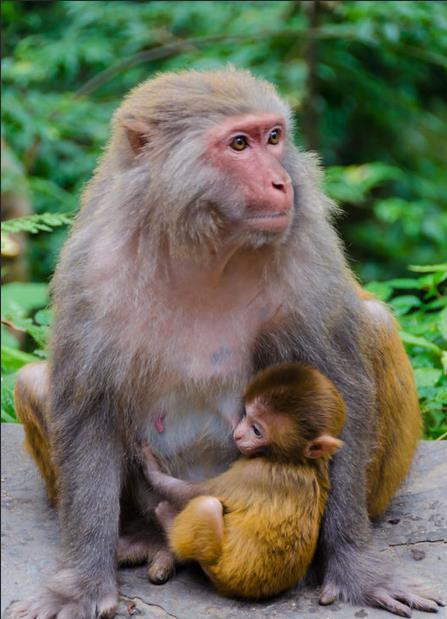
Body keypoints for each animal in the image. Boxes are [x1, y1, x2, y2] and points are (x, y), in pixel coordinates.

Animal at [144, 364, 346, 600]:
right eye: (246, 415)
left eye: (256, 430)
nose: (238, 434)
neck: (296, 461)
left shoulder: (253, 473)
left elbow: (192, 493)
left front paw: (149, 467)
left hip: (218, 569)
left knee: (207, 506)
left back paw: (168, 521)